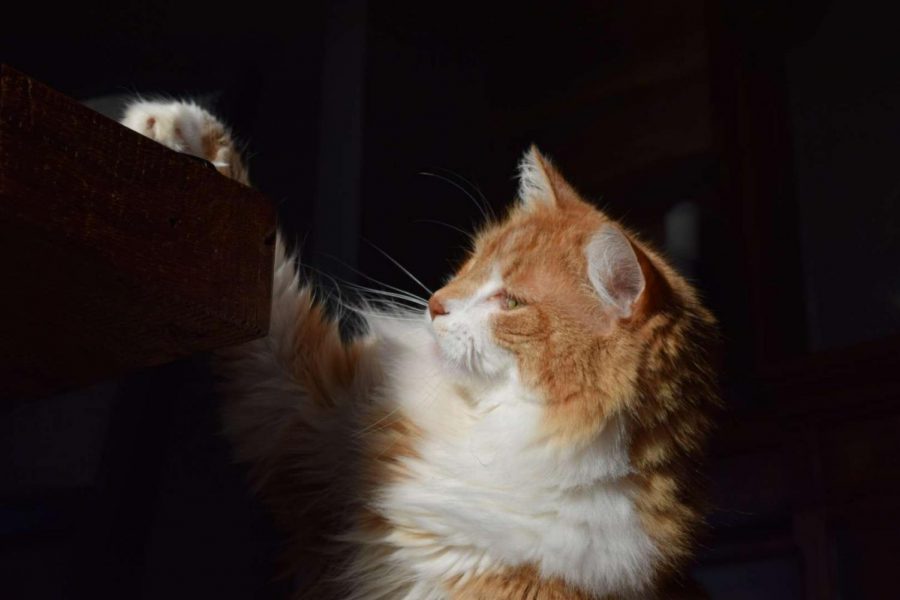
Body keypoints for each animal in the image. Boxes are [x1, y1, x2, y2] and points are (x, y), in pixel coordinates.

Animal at [123, 101, 720, 596]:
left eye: (511, 302)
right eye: (474, 262)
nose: (435, 305)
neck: (495, 435)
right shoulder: (308, 419)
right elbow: (274, 300)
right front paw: (178, 129)